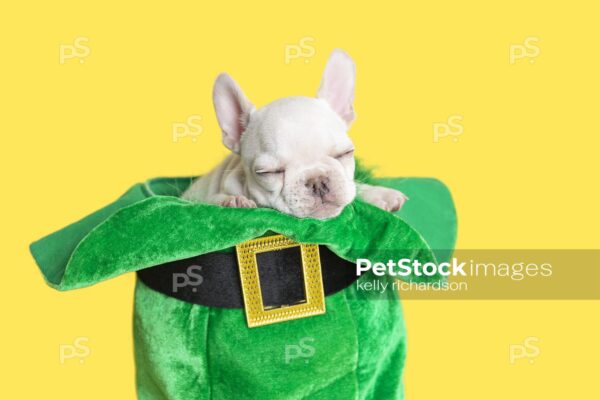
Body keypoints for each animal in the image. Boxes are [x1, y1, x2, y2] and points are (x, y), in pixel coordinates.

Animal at [183, 50, 408, 220]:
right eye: (267, 172)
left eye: (345, 153)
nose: (317, 181)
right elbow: (209, 201)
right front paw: (232, 201)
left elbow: (353, 186)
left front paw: (378, 193)